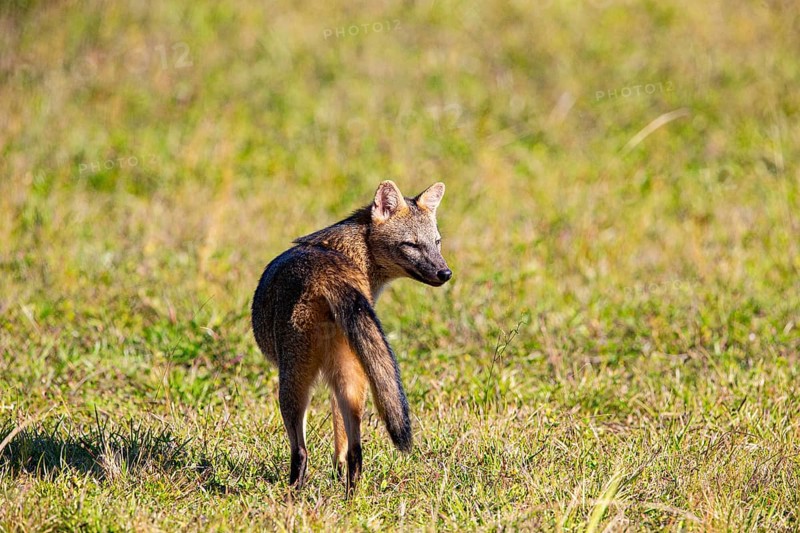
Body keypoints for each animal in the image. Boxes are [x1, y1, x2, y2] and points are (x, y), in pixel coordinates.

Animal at [251, 180, 451, 495]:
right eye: (412, 244)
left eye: (437, 242)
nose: (445, 273)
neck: (346, 253)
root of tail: (328, 274)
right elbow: (340, 440)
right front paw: (337, 473)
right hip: (352, 379)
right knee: (356, 449)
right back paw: (351, 497)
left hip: (292, 382)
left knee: (301, 450)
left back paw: (293, 494)